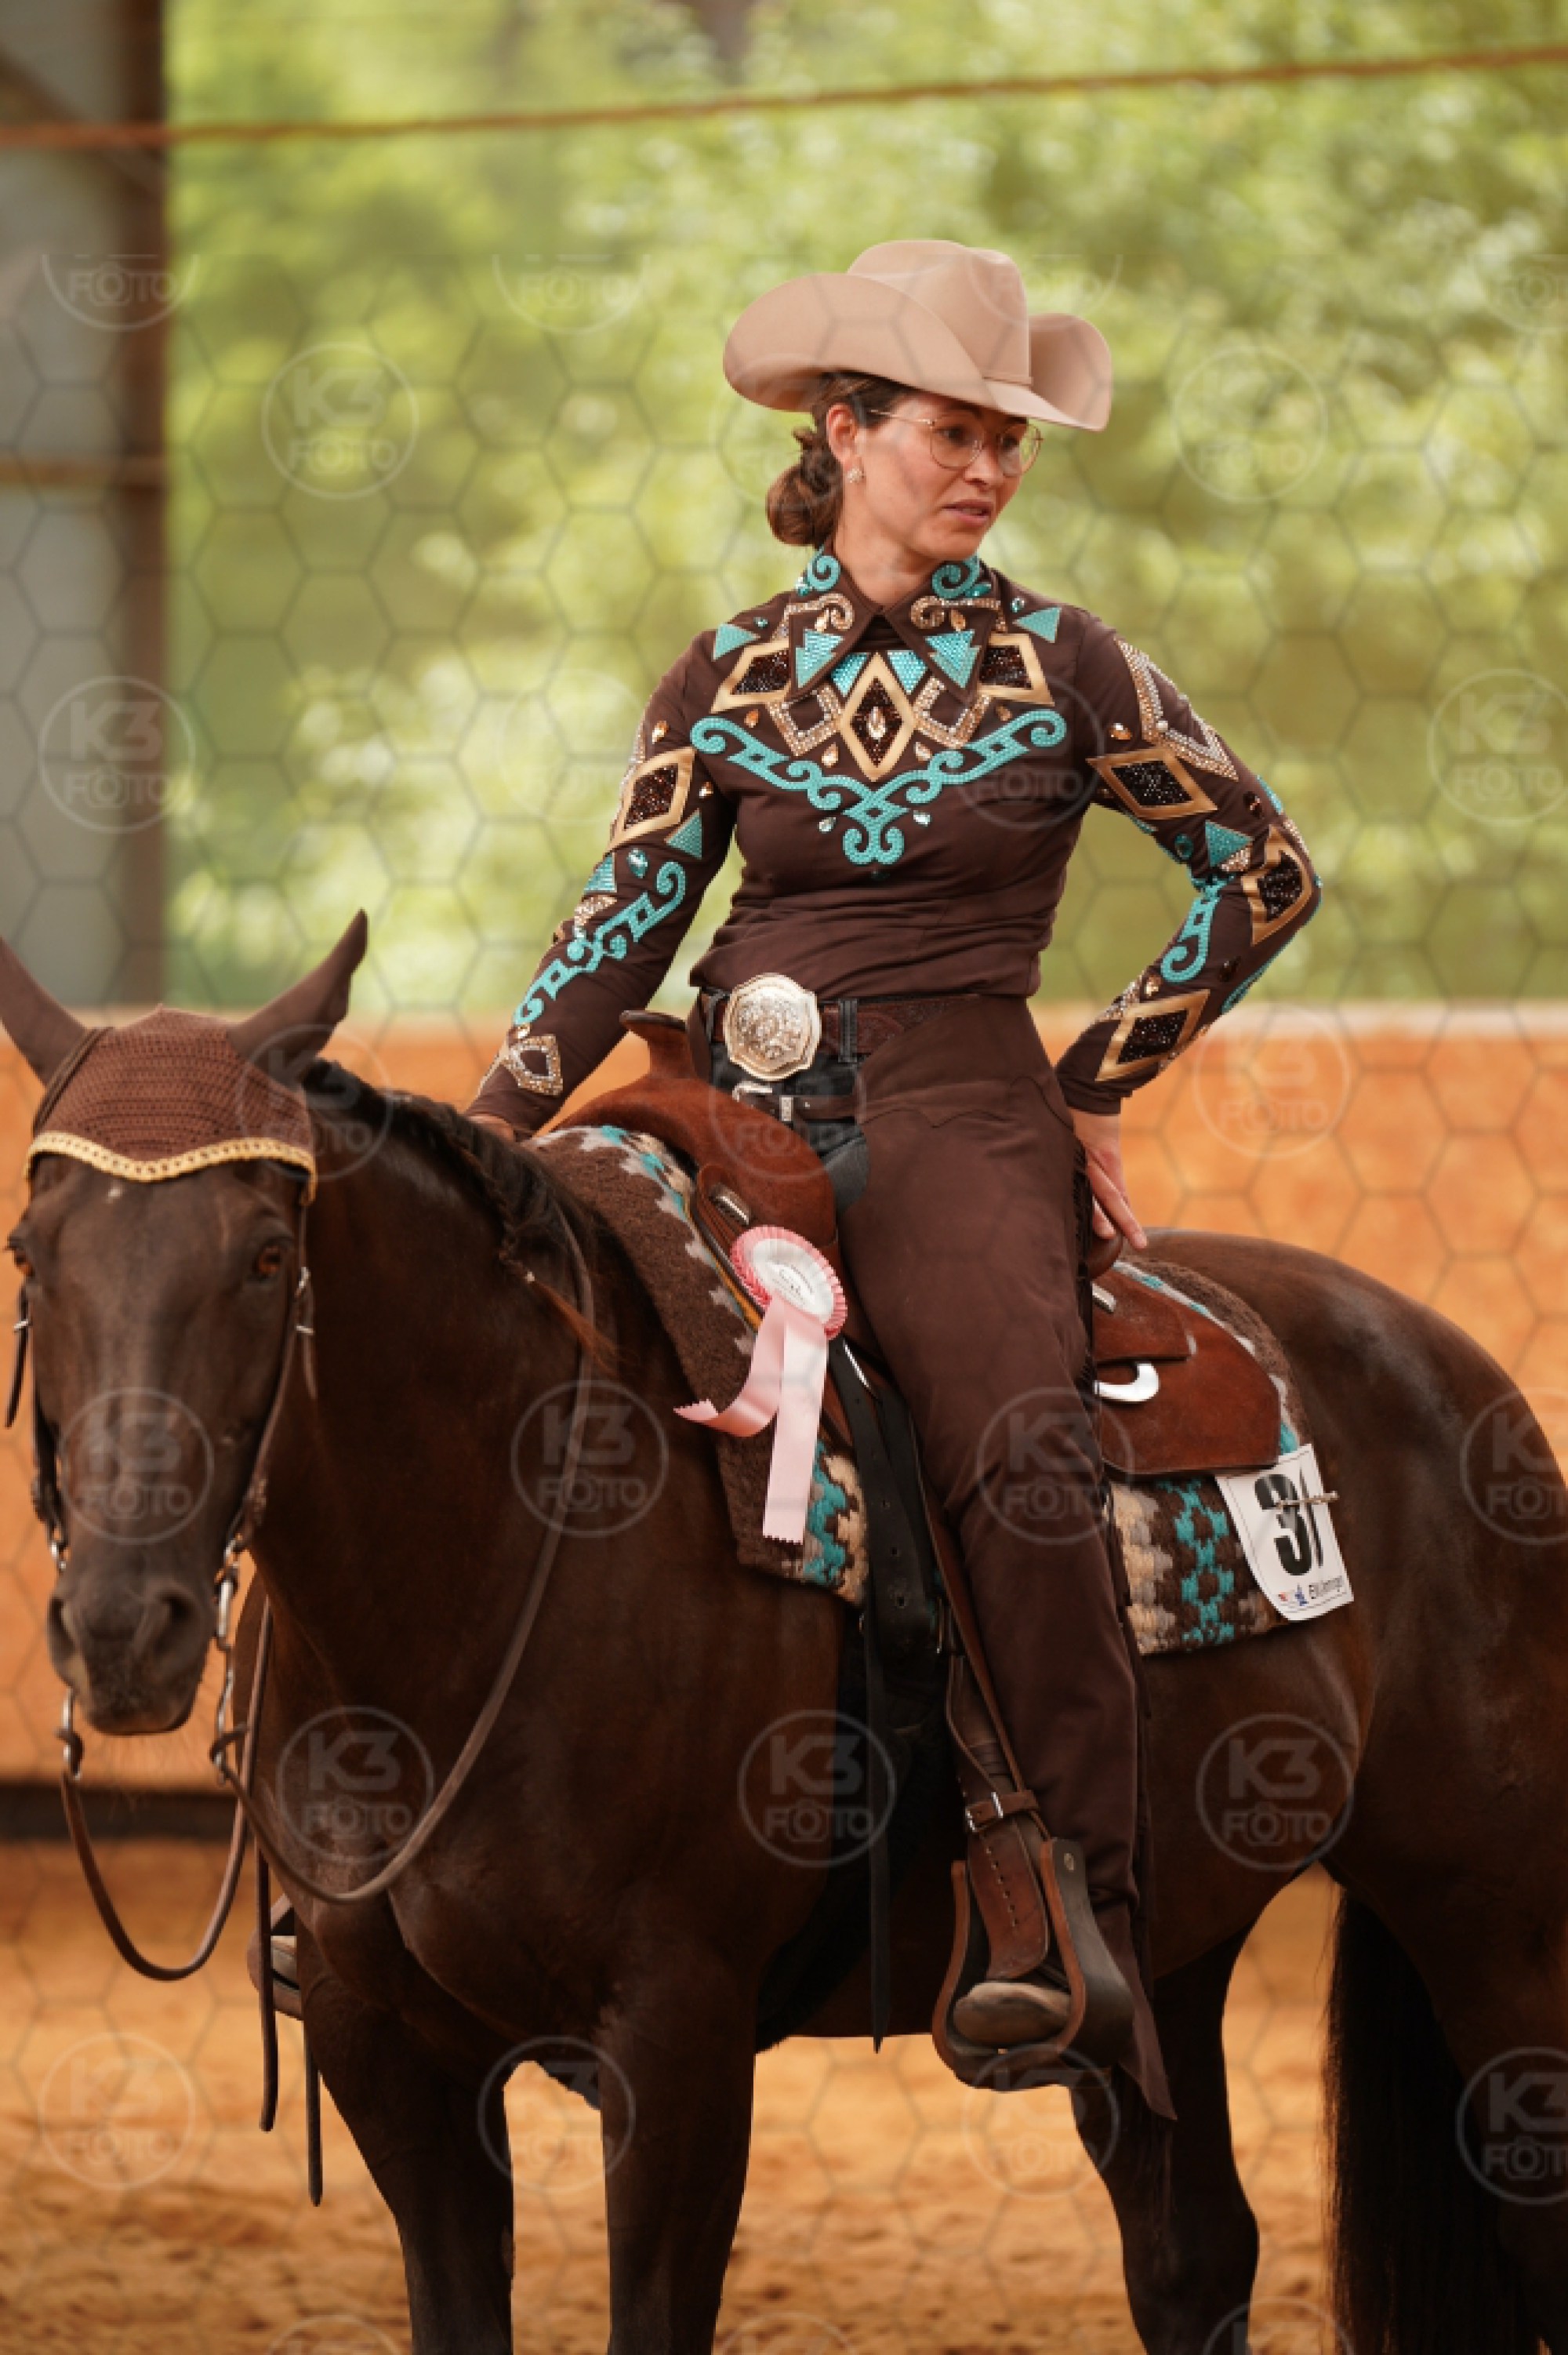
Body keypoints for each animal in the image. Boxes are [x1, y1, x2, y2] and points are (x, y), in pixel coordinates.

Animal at [5, 920, 1568, 2355]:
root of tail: (1449, 1362)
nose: (124, 1628)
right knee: (1194, 2256)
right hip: (1170, 1963)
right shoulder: (384, 2047)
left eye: (268, 1254)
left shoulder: (678, 2041)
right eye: (31, 1252)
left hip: (1500, 1925)